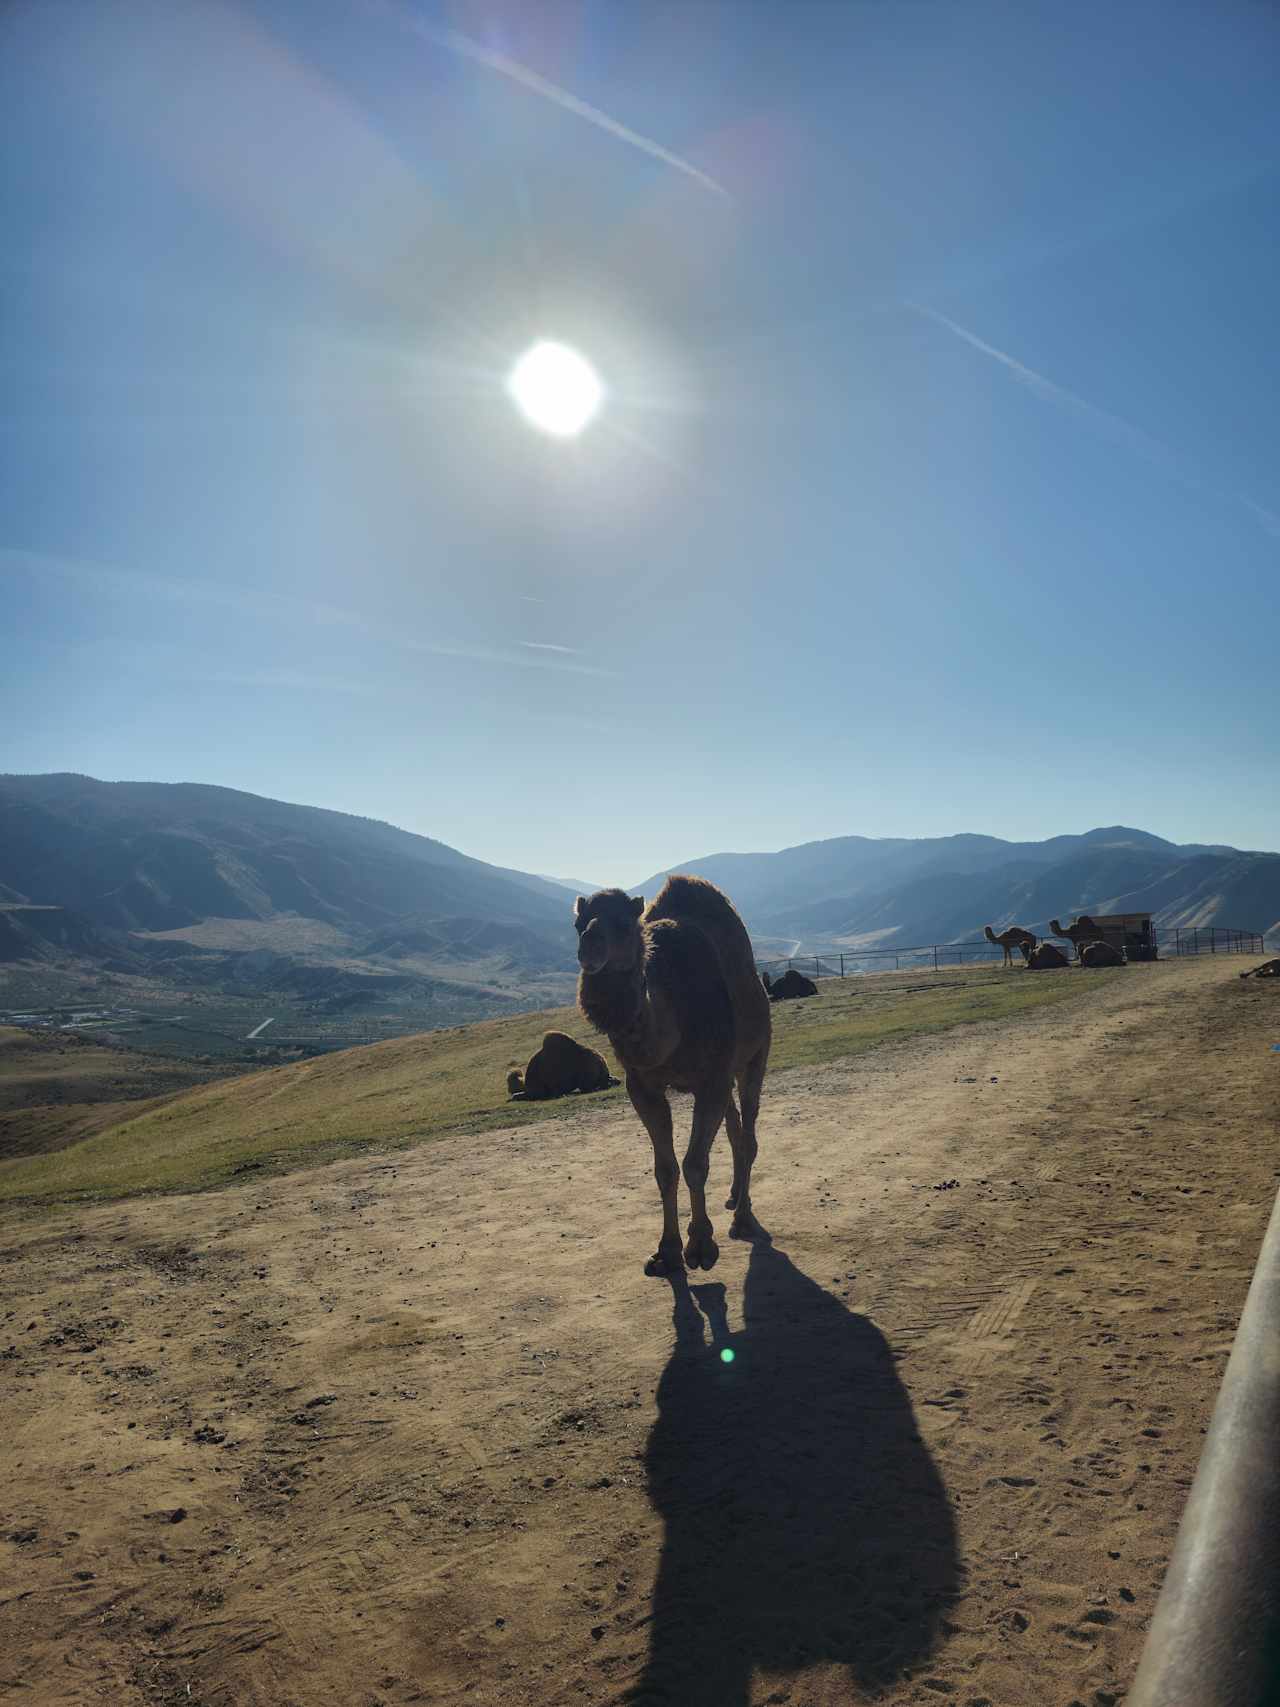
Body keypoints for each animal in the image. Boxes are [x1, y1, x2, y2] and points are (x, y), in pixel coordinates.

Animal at [580, 880, 778, 1270]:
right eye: (577, 923)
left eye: (625, 925)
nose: (589, 945)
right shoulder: (642, 1086)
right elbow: (665, 1169)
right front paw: (667, 1250)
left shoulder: (712, 1078)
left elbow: (695, 1164)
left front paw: (701, 1246)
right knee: (734, 1129)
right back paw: (734, 1196)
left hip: (754, 1054)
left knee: (748, 1132)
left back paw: (742, 1217)